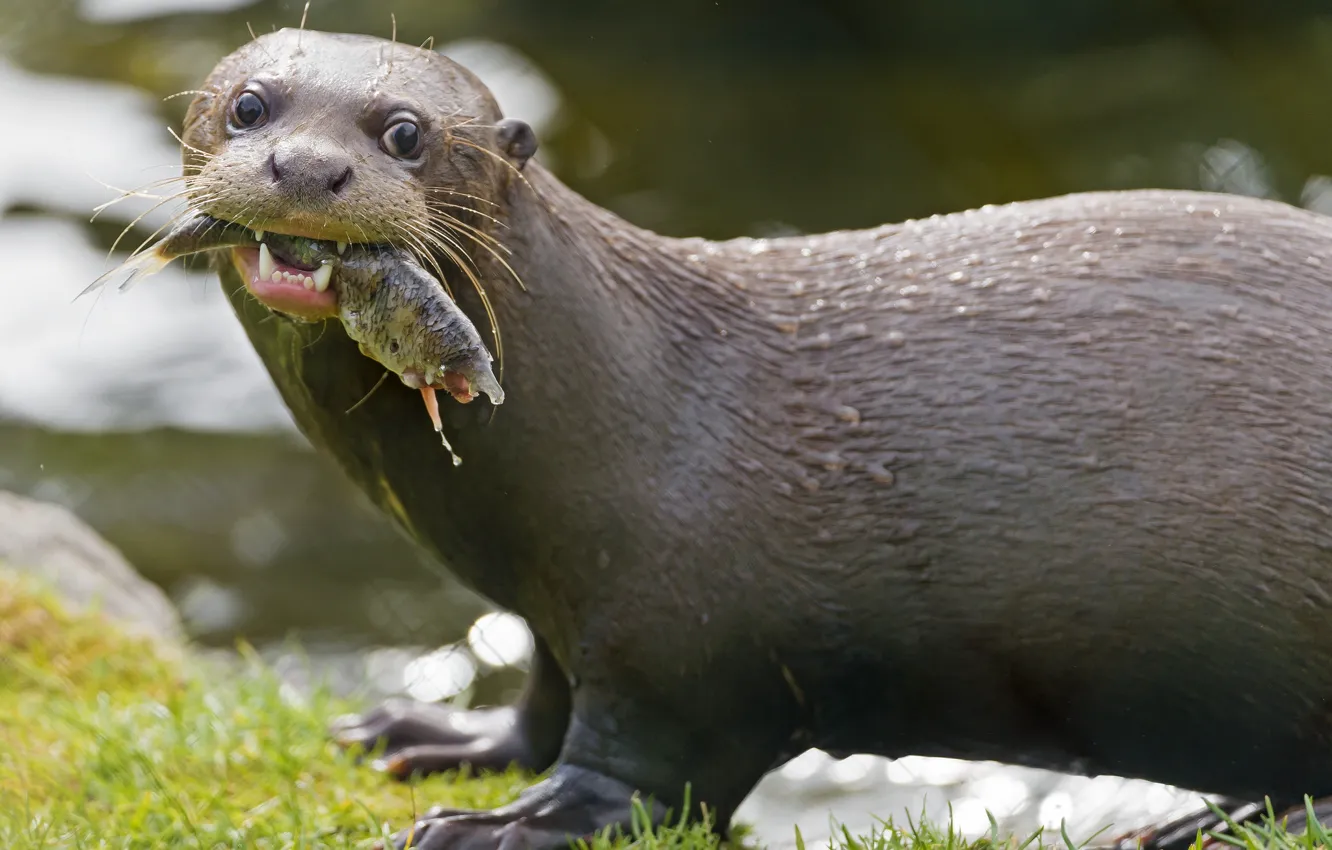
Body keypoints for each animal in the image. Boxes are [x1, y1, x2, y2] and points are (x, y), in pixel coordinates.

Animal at [177, 27, 1332, 850]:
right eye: (249, 105)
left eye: (404, 132)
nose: (307, 169)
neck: (631, 401)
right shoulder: (562, 607)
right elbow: (542, 702)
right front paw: (439, 737)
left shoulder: (674, 630)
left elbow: (641, 770)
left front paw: (505, 823)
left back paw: (1208, 819)